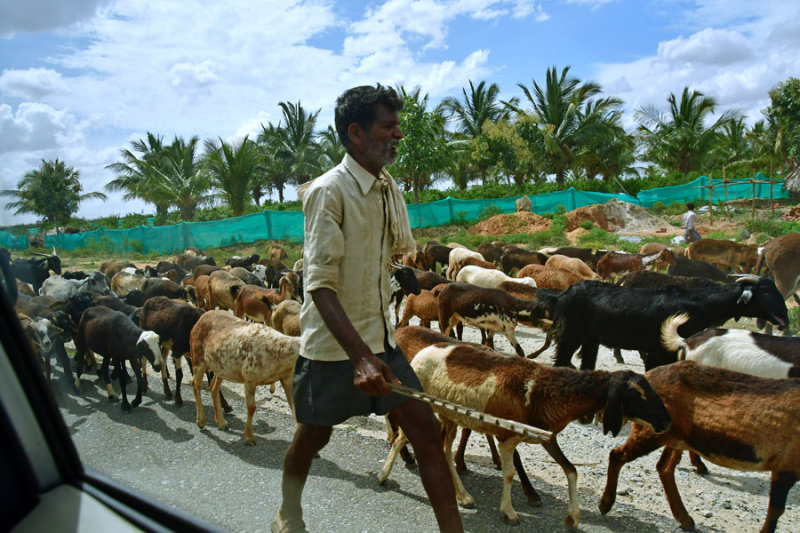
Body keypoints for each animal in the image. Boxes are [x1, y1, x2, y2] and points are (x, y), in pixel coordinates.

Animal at [189, 310, 298, 442]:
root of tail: (202, 317)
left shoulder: (287, 377)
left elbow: (295, 408)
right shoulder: (249, 377)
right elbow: (251, 407)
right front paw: (249, 437)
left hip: (221, 367)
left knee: (213, 387)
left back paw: (221, 423)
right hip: (197, 356)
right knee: (195, 384)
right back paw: (201, 421)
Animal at [378, 340, 672, 524]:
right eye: (638, 395)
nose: (667, 421)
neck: (544, 391)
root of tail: (423, 351)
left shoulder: (547, 437)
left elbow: (571, 470)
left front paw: (573, 517)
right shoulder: (506, 437)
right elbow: (509, 474)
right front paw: (509, 513)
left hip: (450, 415)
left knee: (438, 447)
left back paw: (458, 495)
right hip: (428, 405)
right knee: (410, 438)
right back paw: (387, 476)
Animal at [600, 358, 800, 532]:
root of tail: (648, 375)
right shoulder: (785, 466)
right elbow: (776, 510)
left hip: (675, 438)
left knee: (664, 467)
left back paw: (685, 519)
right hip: (649, 432)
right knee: (617, 455)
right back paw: (605, 504)